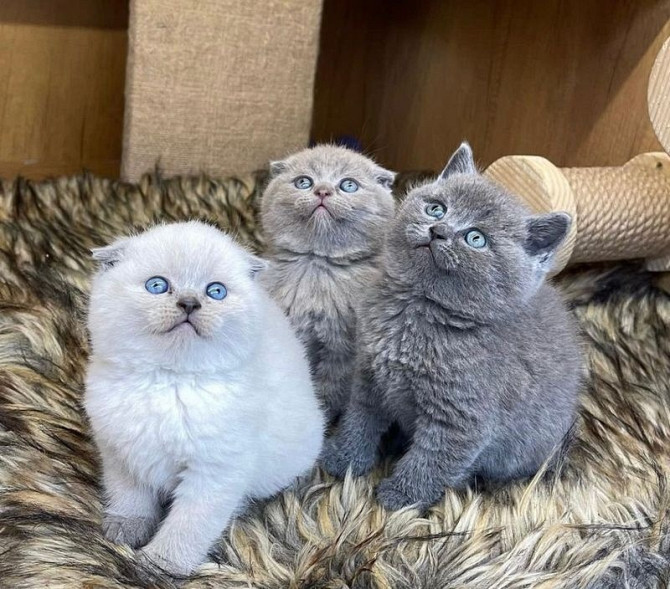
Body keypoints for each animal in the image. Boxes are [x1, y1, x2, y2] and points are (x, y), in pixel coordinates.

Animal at [262, 145, 400, 420]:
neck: (317, 267)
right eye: (303, 182)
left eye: (348, 185)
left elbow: (330, 390)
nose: (323, 190)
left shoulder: (343, 352)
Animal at [320, 142, 584, 510]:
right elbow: (360, 419)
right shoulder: (369, 375)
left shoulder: (461, 418)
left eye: (476, 239)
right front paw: (343, 459)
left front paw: (401, 498)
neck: (416, 314)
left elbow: (432, 458)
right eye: (436, 209)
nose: (439, 231)